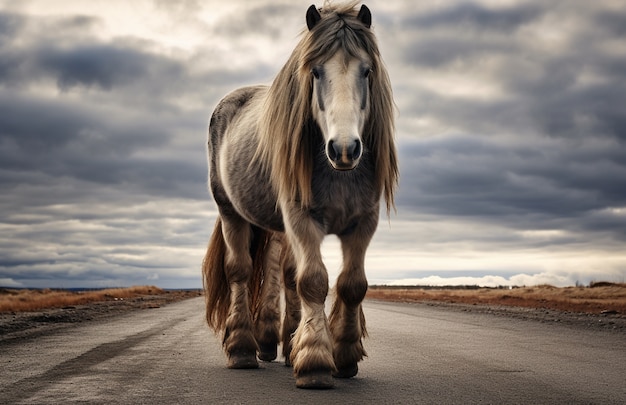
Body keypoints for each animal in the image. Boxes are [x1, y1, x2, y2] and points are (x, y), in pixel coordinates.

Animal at [201, 2, 394, 388]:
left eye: (367, 71)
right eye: (315, 72)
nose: (345, 149)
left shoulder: (364, 222)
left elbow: (352, 285)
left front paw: (344, 357)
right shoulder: (302, 219)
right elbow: (313, 282)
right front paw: (316, 362)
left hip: (276, 227)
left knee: (282, 274)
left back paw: (282, 345)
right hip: (231, 212)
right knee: (240, 271)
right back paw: (243, 349)